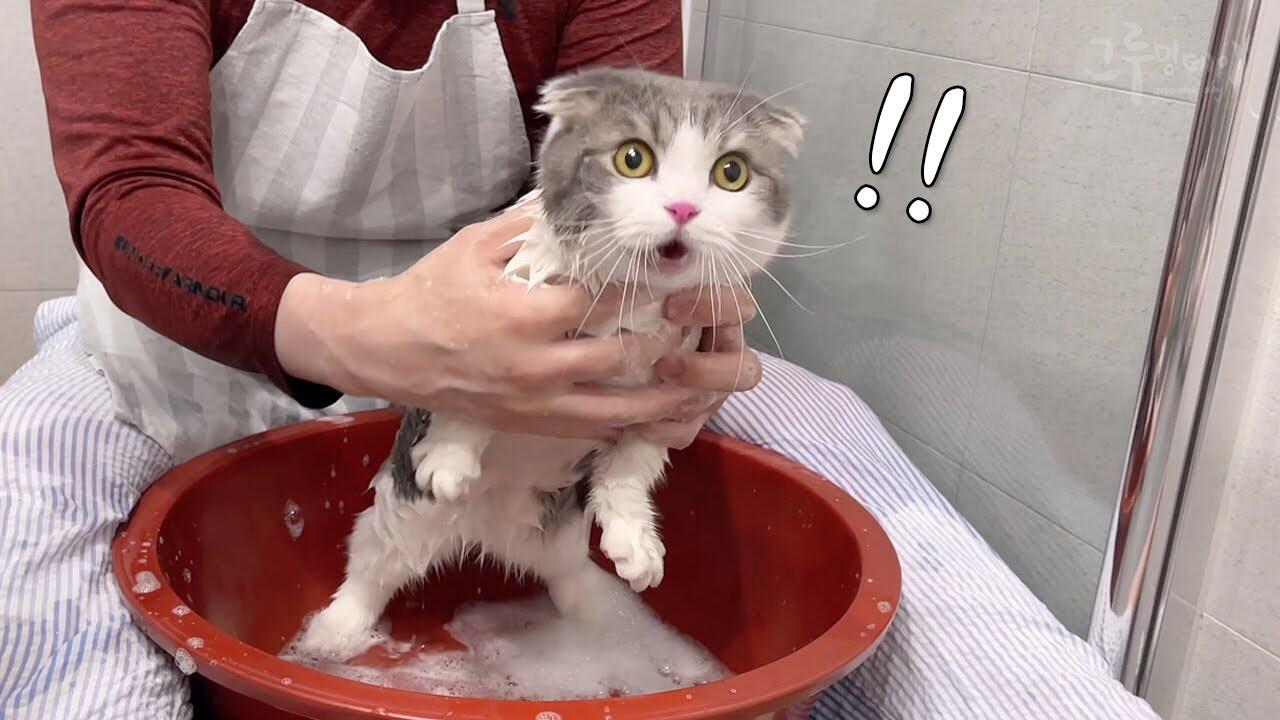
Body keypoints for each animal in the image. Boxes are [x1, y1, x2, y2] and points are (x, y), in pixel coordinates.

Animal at [295, 67, 803, 659]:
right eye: (633, 159)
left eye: (731, 173)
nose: (683, 208)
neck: (632, 302)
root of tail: (490, 525)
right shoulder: (499, 300)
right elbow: (471, 390)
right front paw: (449, 457)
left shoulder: (675, 383)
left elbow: (634, 462)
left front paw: (634, 537)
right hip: (405, 513)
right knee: (372, 568)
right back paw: (335, 633)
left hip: (557, 535)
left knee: (566, 577)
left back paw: (603, 624)